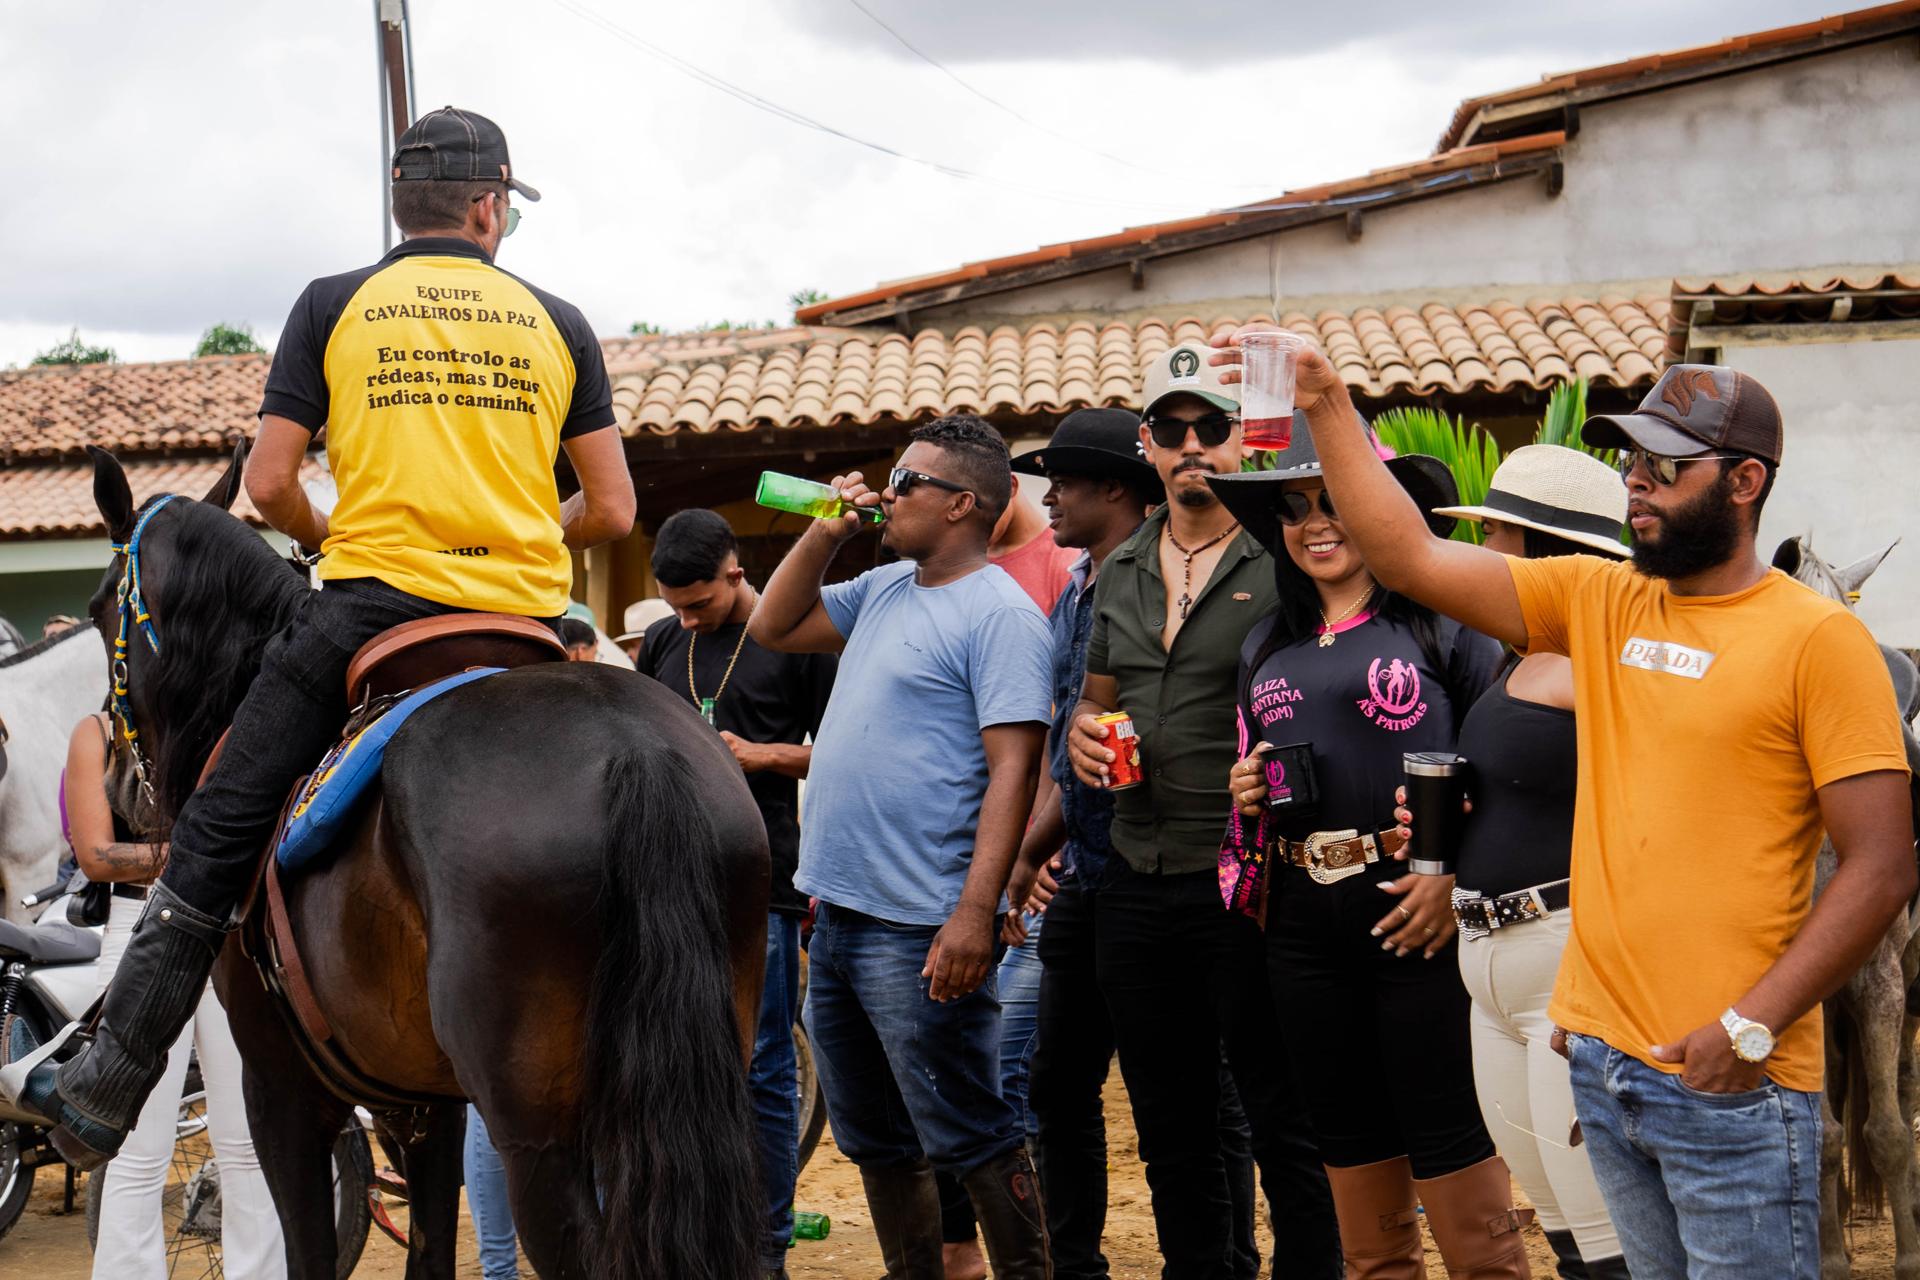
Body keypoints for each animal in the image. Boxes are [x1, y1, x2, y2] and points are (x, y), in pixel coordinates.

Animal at [83, 444, 771, 1280]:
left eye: (98, 608)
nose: (115, 782)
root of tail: (633, 749)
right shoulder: (424, 1098)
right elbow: (431, 1244)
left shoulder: (281, 1088)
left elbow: (311, 1250)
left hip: (537, 1131)